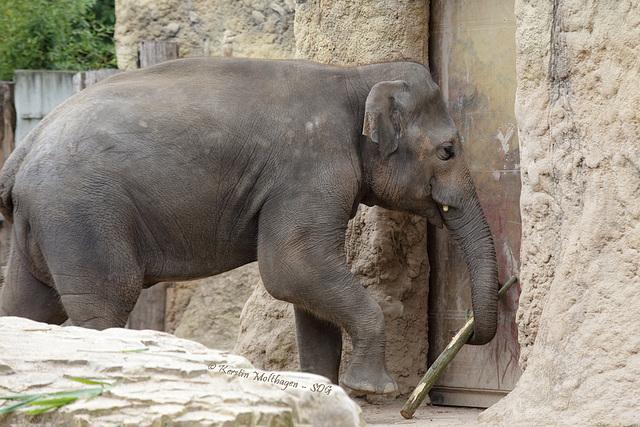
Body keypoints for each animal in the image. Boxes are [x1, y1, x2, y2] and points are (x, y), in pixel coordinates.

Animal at [0, 56, 500, 394]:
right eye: (449, 151)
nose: (471, 333)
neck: (355, 74)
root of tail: (23, 148)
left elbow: (309, 291)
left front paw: (324, 393)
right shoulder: (310, 168)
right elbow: (291, 268)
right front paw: (372, 391)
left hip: (43, 222)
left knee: (28, 304)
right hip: (80, 212)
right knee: (105, 301)